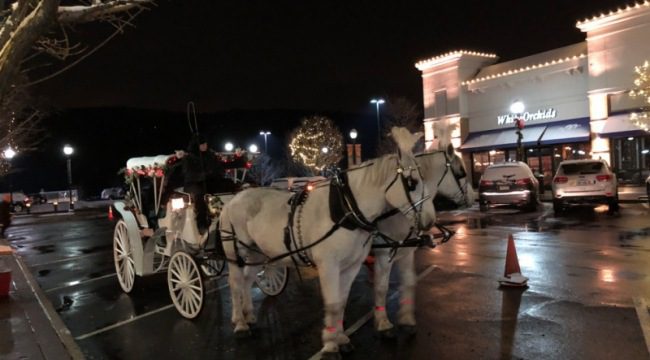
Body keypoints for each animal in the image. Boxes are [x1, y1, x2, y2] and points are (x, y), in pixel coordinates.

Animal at [218, 128, 436, 358]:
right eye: (412, 183)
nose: (430, 221)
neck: (345, 209)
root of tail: (233, 199)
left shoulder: (350, 266)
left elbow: (341, 302)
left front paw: (340, 338)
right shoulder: (328, 266)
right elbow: (332, 303)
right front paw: (331, 346)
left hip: (257, 253)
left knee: (247, 280)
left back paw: (249, 315)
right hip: (235, 253)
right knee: (235, 283)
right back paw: (240, 323)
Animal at [370, 143, 470, 338]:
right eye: (461, 172)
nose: (473, 197)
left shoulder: (406, 251)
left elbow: (409, 280)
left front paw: (406, 319)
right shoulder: (384, 253)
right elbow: (381, 286)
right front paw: (383, 323)